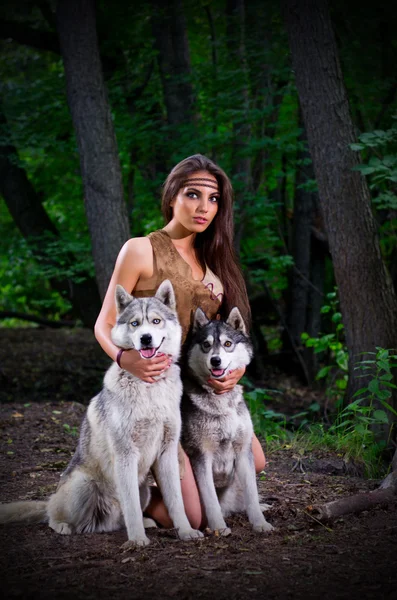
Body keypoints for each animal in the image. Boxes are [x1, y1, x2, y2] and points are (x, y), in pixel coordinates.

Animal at [0, 282, 201, 548]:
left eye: (156, 321)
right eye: (135, 323)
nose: (145, 338)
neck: (149, 388)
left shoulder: (166, 452)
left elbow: (176, 502)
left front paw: (186, 531)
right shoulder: (125, 453)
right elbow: (131, 506)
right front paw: (138, 540)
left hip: (144, 490)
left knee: (116, 519)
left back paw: (141, 523)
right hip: (83, 486)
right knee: (52, 514)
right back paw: (63, 526)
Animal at [181, 310, 274, 536]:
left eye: (228, 343)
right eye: (206, 344)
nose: (216, 360)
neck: (220, 402)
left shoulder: (243, 450)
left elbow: (252, 494)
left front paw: (260, 523)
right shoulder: (201, 455)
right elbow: (210, 499)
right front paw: (218, 527)